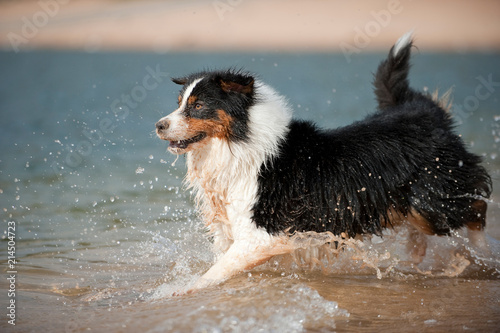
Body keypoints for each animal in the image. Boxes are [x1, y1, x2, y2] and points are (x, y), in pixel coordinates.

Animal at [156, 32, 492, 292]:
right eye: (179, 103)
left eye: (199, 105)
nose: (159, 125)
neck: (239, 144)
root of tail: (423, 110)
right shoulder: (229, 227)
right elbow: (220, 262)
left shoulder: (262, 233)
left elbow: (214, 272)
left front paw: (177, 291)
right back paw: (415, 253)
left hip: (434, 201)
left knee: (476, 203)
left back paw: (483, 251)